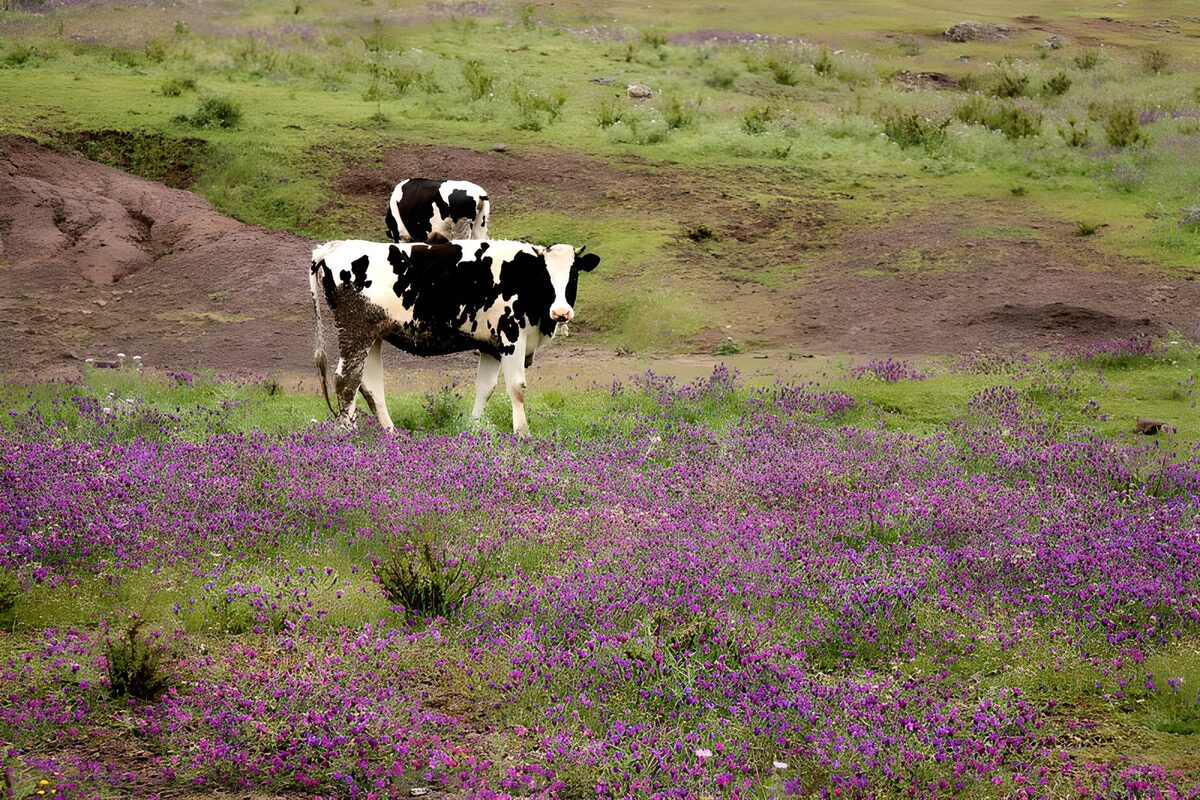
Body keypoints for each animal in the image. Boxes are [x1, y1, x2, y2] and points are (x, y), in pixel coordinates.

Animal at [308, 239, 599, 435]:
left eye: (573, 274)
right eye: (544, 275)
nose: (561, 312)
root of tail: (335, 246)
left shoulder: (491, 346)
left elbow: (485, 388)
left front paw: (474, 428)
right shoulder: (511, 336)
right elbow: (517, 388)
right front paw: (522, 433)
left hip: (373, 336)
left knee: (369, 384)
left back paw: (390, 433)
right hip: (354, 332)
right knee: (346, 379)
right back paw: (348, 433)